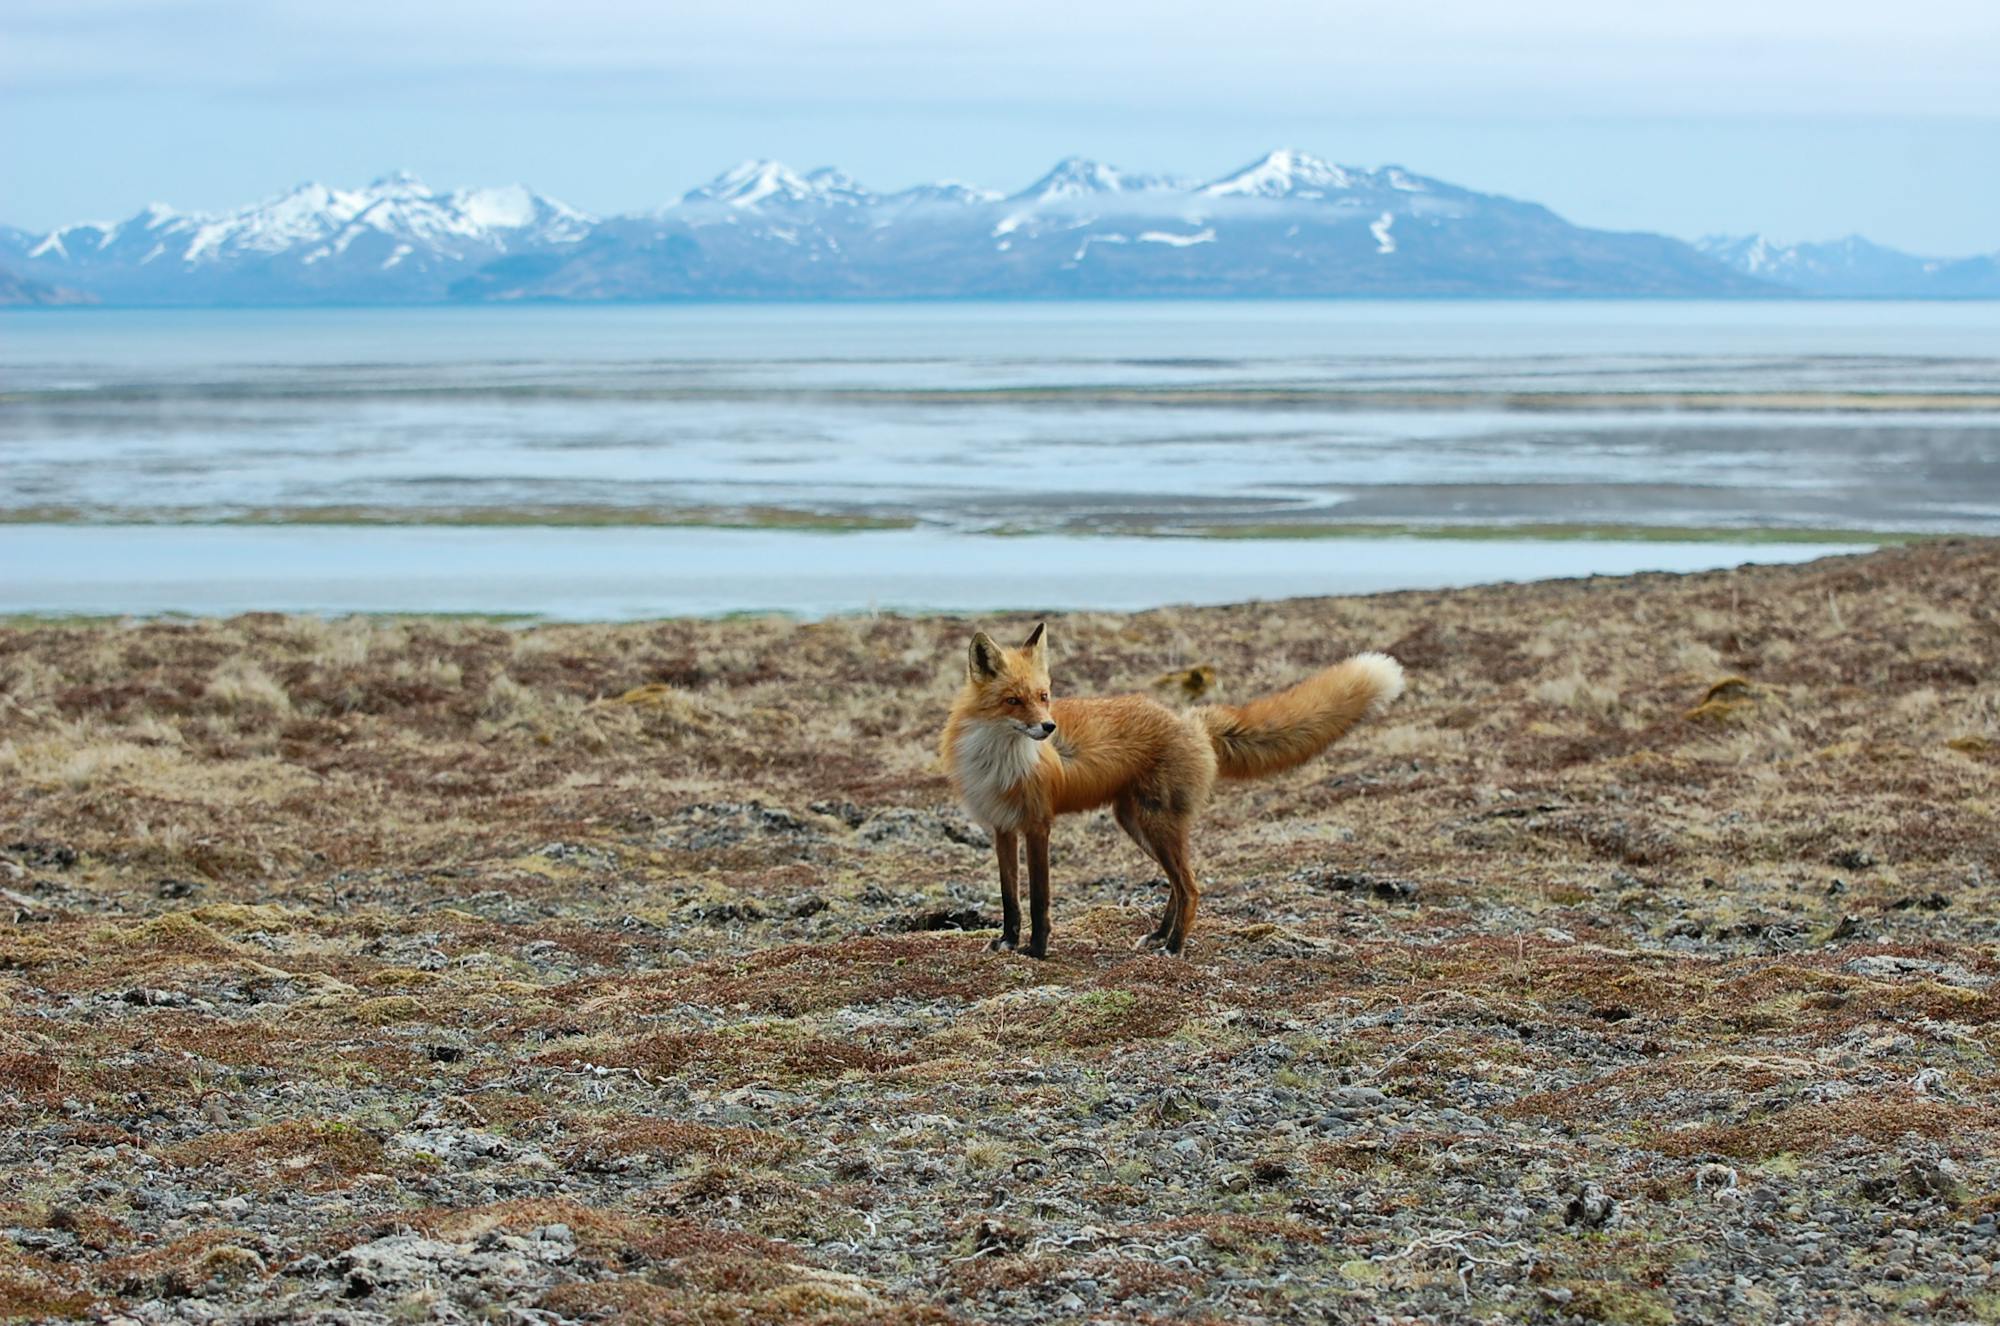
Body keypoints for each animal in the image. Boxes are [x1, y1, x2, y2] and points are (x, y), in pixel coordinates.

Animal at [940, 628, 1400, 960]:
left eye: (1044, 696)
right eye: (1013, 701)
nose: (1049, 728)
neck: (999, 757)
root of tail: (1190, 721)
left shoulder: (1038, 825)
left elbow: (1038, 899)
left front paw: (1036, 951)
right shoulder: (1002, 828)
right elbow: (1010, 898)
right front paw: (1007, 942)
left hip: (1156, 824)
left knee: (1191, 888)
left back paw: (1175, 947)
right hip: (1139, 825)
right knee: (1178, 888)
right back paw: (1159, 937)